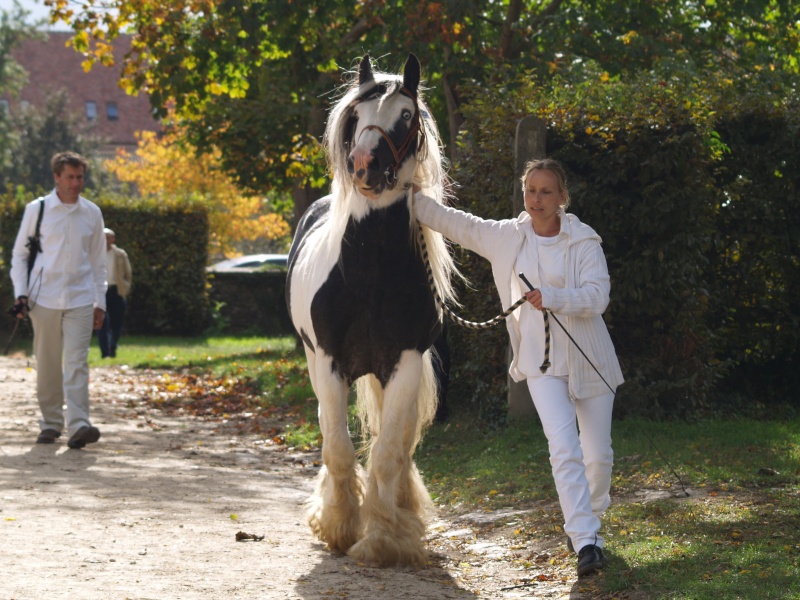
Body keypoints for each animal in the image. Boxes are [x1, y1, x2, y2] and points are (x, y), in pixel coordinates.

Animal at [286, 52, 456, 568]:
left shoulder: (404, 362)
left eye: (406, 114)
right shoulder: (329, 363)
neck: (369, 274)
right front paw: (340, 526)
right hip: (316, 364)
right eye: (356, 115)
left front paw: (383, 538)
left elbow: (388, 453)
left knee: (394, 442)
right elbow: (338, 449)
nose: (364, 165)